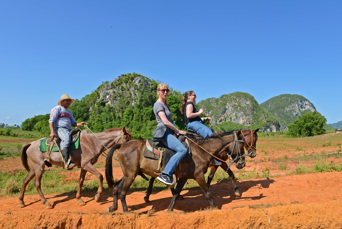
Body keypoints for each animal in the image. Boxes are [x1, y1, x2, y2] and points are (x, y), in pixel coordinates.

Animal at [105, 130, 246, 212]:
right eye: (242, 144)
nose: (242, 163)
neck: (200, 151)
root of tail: (122, 145)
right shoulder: (199, 175)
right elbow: (207, 193)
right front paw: (215, 208)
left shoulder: (184, 177)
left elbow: (176, 194)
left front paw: (169, 210)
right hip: (130, 175)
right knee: (122, 191)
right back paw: (126, 212)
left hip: (129, 173)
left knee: (116, 187)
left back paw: (113, 207)